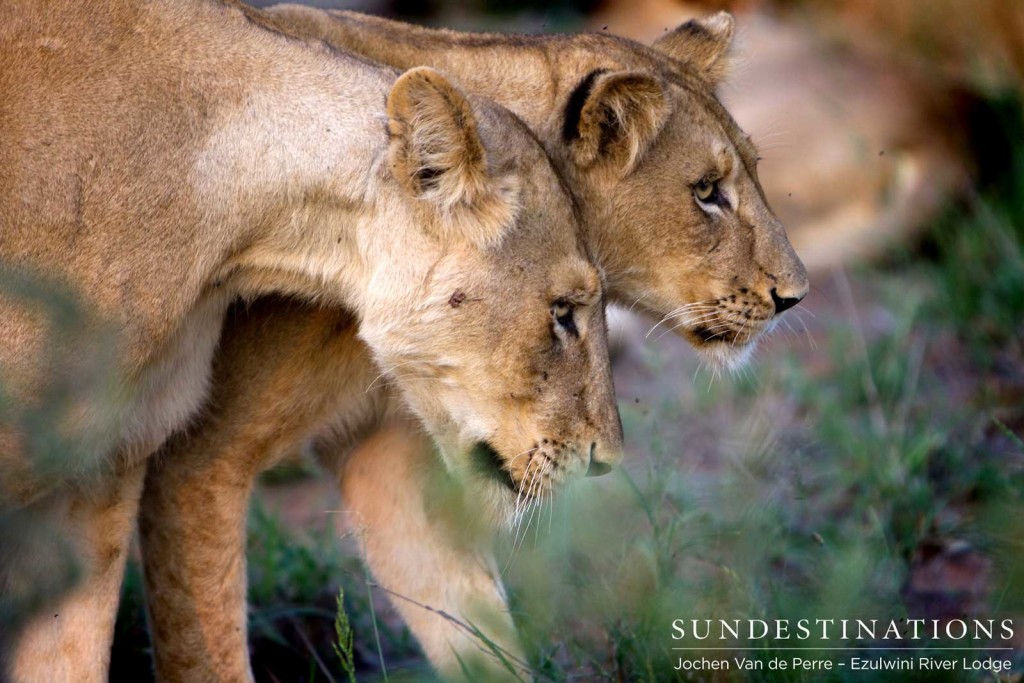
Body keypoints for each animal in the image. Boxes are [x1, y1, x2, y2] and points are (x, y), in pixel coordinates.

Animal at [136, 6, 811, 683]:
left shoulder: (384, 450)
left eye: (755, 172)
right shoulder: (199, 458)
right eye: (707, 191)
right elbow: (205, 646)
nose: (795, 295)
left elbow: (469, 620)